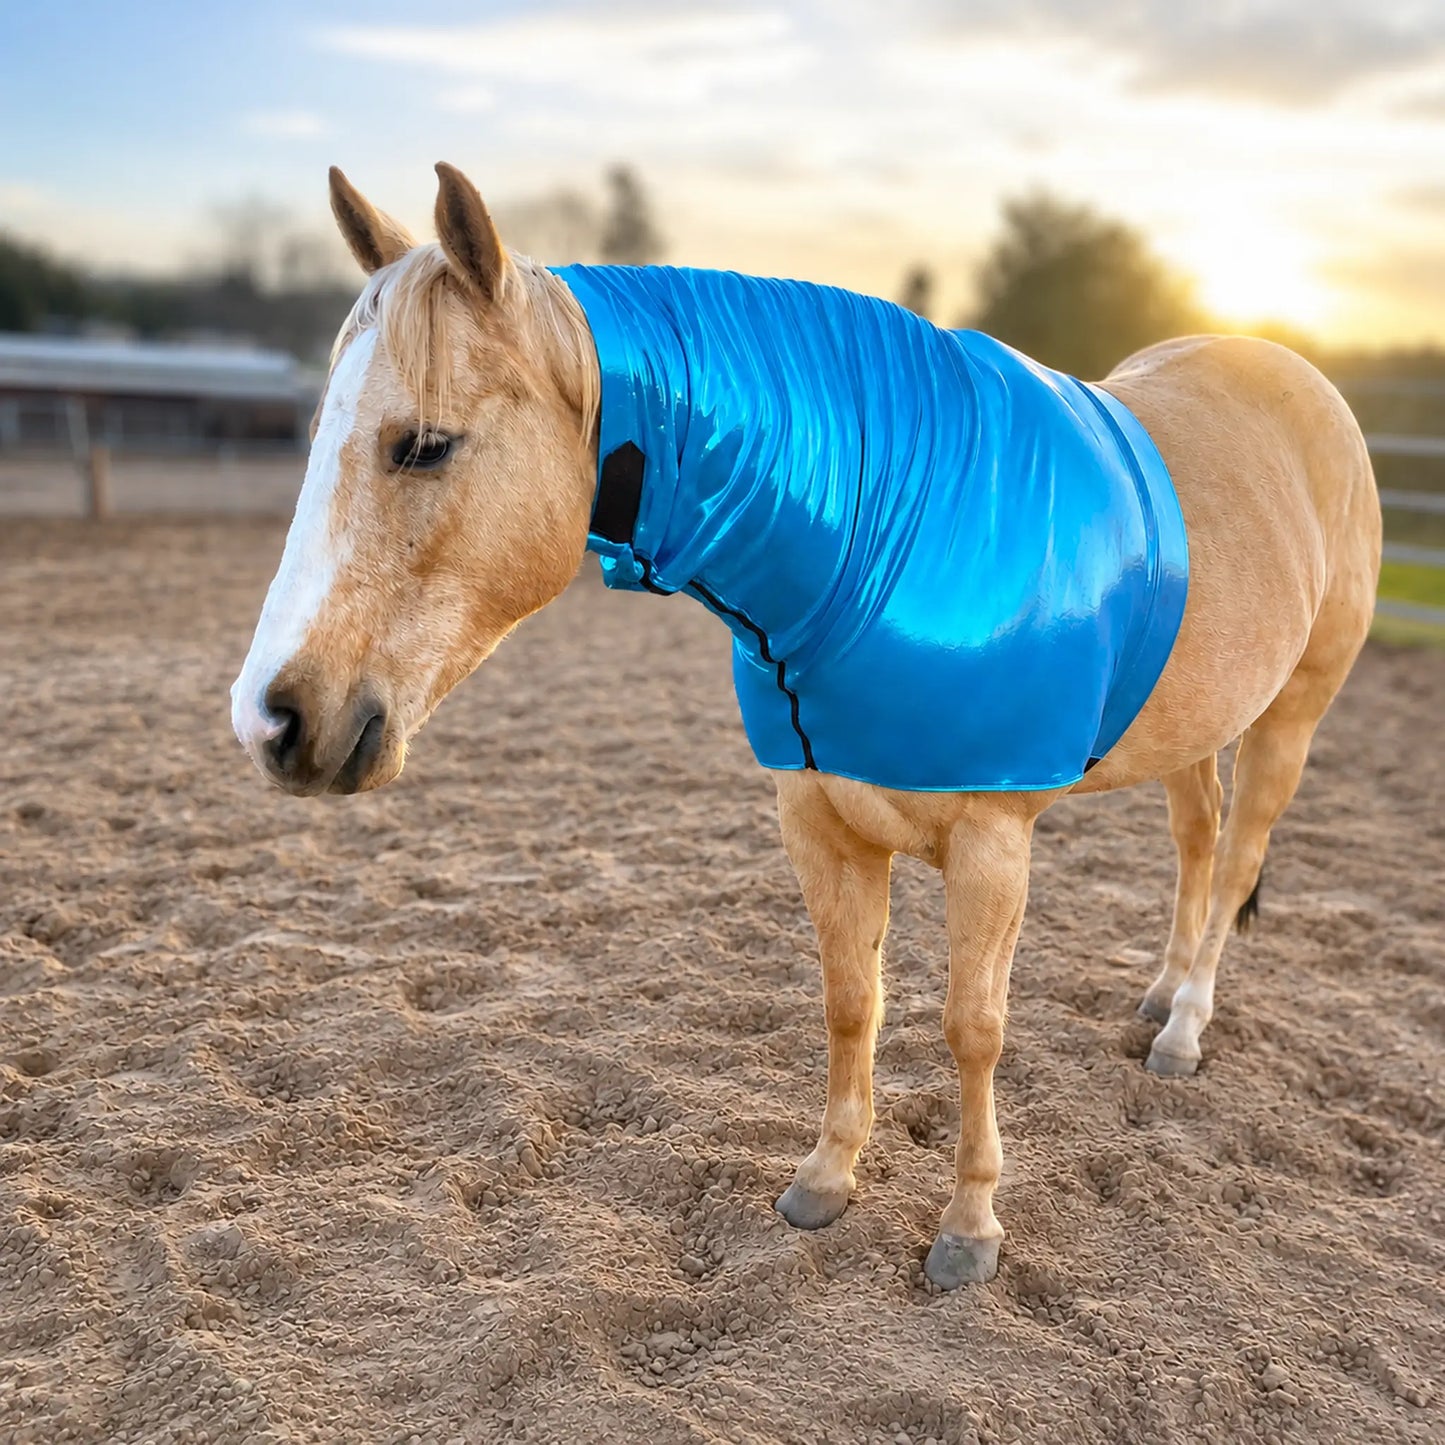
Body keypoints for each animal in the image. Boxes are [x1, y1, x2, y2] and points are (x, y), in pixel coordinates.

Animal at [231, 163, 1381, 1289]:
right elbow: (847, 1000)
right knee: (1196, 843)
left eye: (424, 445)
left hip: (1292, 715)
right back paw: (1158, 995)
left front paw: (969, 1227)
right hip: (1198, 721)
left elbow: (972, 1028)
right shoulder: (818, 821)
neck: (881, 538)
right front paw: (825, 1179)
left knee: (1235, 857)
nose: (273, 718)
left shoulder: (991, 842)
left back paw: (1183, 1027)